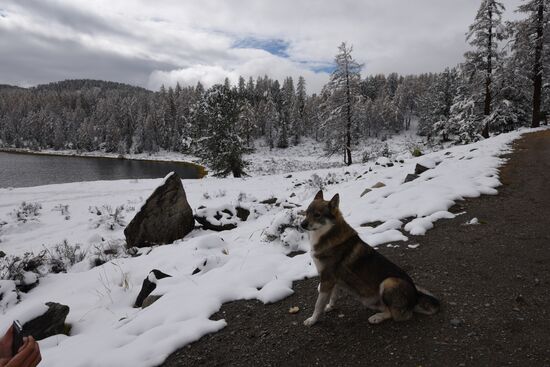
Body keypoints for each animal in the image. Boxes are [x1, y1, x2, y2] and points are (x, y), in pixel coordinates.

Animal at [300, 191, 442, 326]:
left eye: (317, 215)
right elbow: (333, 297)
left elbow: (318, 304)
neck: (328, 234)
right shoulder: (333, 280)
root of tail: (416, 296)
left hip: (389, 282)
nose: (302, 224)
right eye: (306, 213)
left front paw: (312, 320)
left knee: (396, 314)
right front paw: (330, 306)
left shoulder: (327, 278)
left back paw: (377, 318)